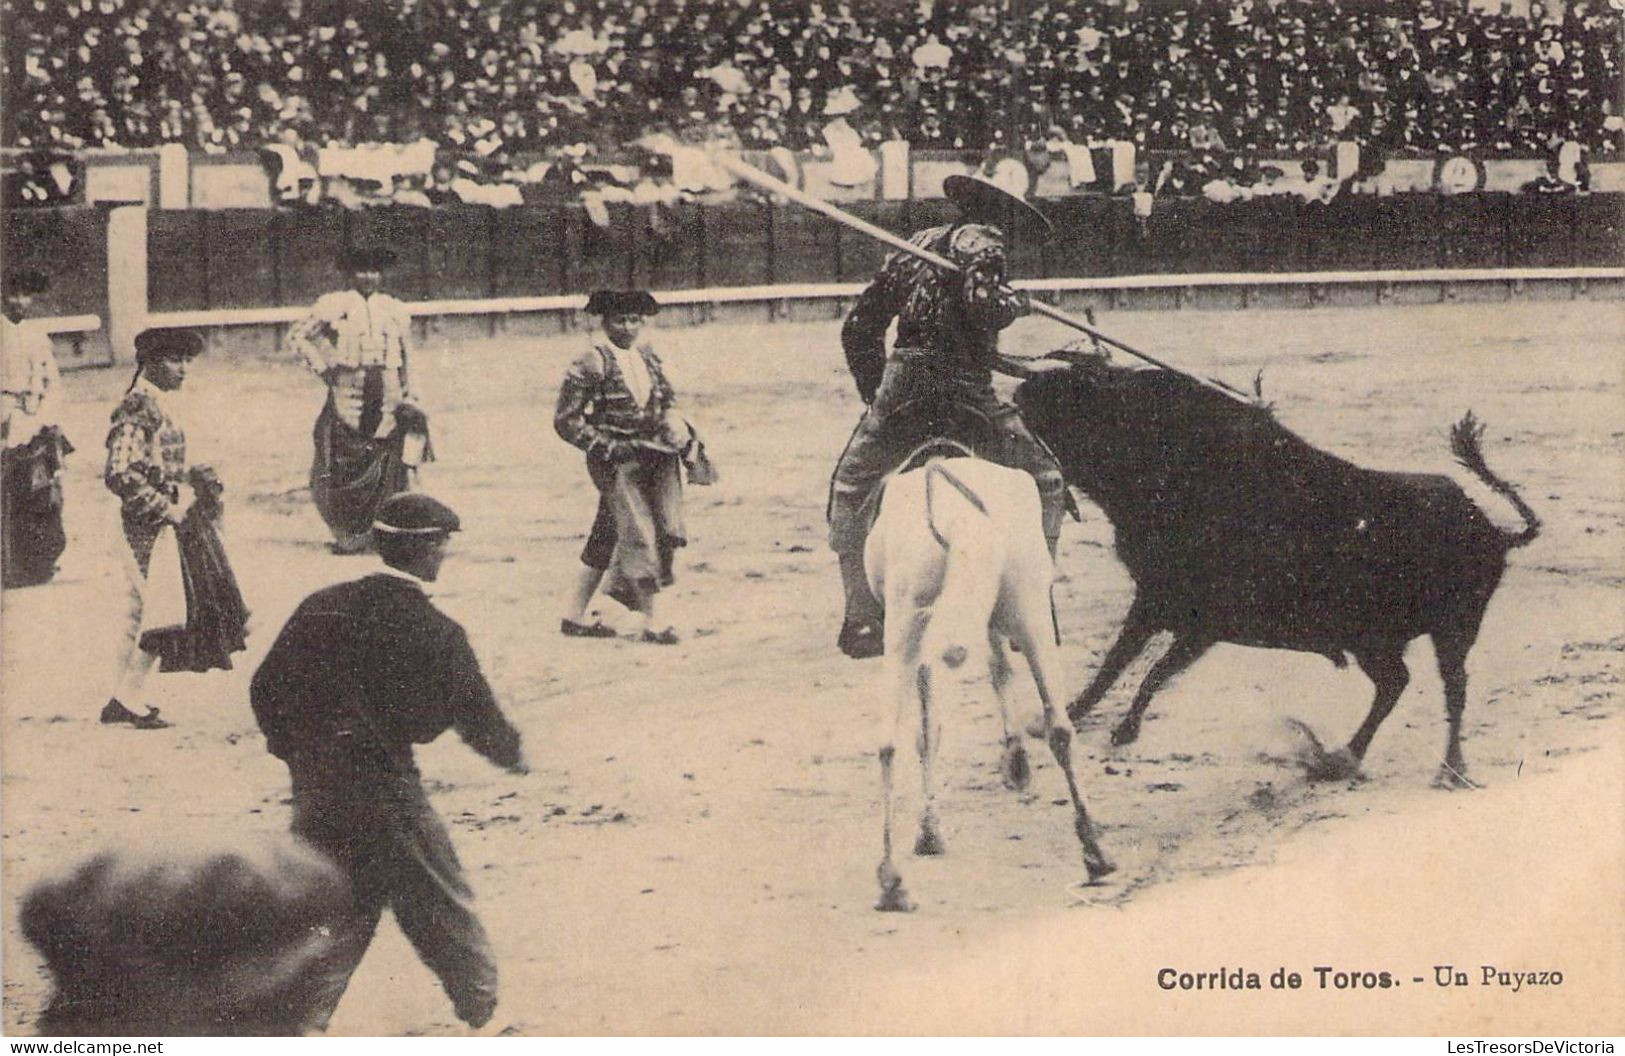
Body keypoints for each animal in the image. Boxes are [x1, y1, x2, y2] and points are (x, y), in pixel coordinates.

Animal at [864, 448, 1118, 909]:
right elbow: (999, 670)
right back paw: (1096, 852)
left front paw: (930, 832)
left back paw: (892, 880)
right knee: (1058, 727)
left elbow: (929, 730)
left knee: (890, 741)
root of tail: (953, 507)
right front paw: (1015, 762)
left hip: (906, 625)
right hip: (1028, 612)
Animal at [1014, 357, 1534, 786]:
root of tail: (1493, 529)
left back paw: (1447, 769)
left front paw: (1123, 731)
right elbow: (1117, 662)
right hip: (1376, 643)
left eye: (1106, 395)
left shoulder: (1203, 622)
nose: (1027, 385)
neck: (1186, 467)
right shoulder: (1155, 601)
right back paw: (1343, 757)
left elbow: (1155, 670)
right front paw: (1064, 717)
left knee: (1452, 691)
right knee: (1396, 684)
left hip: (1451, 632)